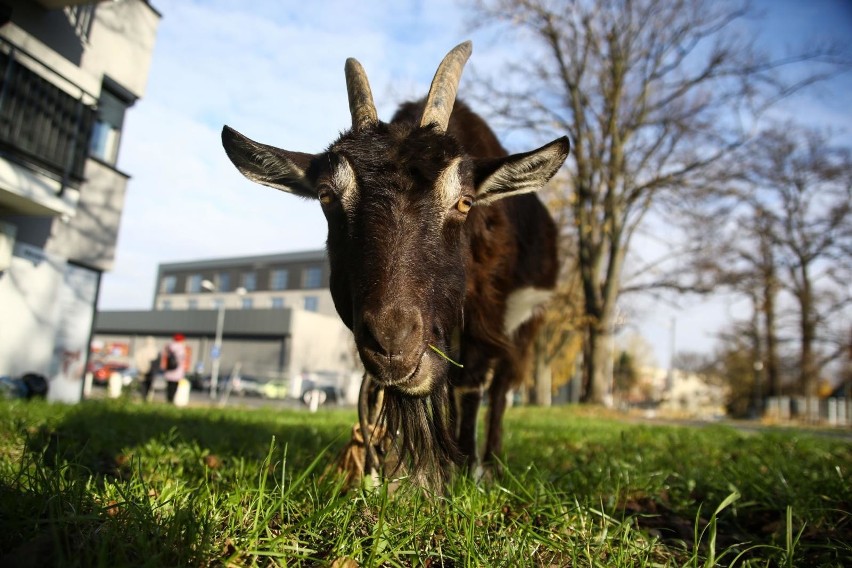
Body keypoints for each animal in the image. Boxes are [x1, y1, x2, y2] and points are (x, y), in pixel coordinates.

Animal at [223, 41, 568, 484]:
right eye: (326, 196)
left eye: (465, 201)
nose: (393, 340)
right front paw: (382, 473)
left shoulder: (486, 312)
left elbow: (471, 382)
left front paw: (465, 470)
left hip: (526, 321)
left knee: (500, 387)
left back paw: (489, 463)